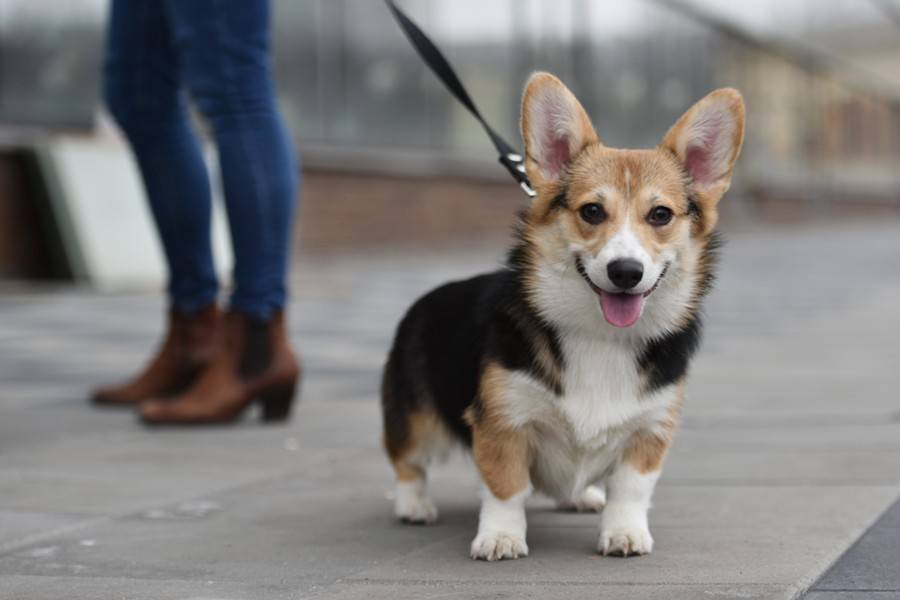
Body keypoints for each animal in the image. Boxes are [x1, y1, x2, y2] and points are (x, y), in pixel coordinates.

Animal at [380, 72, 744, 560]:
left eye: (660, 214)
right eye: (592, 210)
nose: (625, 272)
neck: (599, 335)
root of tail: (427, 298)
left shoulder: (650, 429)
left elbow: (631, 489)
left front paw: (625, 532)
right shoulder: (503, 421)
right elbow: (506, 487)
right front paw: (500, 537)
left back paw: (581, 496)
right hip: (417, 420)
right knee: (408, 463)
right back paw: (414, 506)